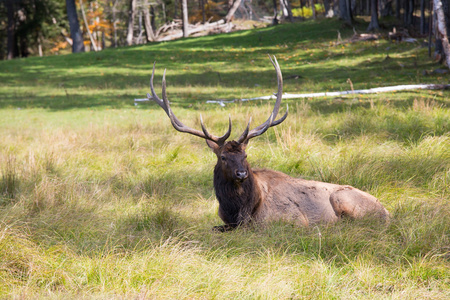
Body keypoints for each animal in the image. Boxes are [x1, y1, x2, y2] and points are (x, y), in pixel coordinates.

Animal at [146, 55, 388, 232]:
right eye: (223, 157)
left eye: (245, 155)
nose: (241, 173)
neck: (241, 211)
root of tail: (387, 211)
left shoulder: (293, 220)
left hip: (343, 198)